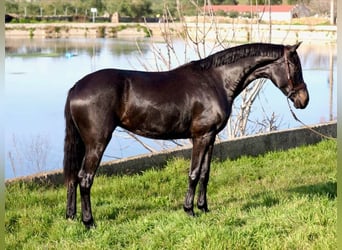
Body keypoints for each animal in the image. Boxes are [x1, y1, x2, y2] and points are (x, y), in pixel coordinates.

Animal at [64, 42, 310, 228]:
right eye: (294, 66)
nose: (303, 100)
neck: (216, 80)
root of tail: (76, 87)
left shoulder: (211, 137)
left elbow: (205, 174)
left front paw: (204, 208)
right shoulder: (200, 136)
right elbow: (193, 173)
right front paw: (189, 210)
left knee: (73, 177)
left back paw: (71, 216)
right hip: (97, 142)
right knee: (85, 178)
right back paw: (89, 222)